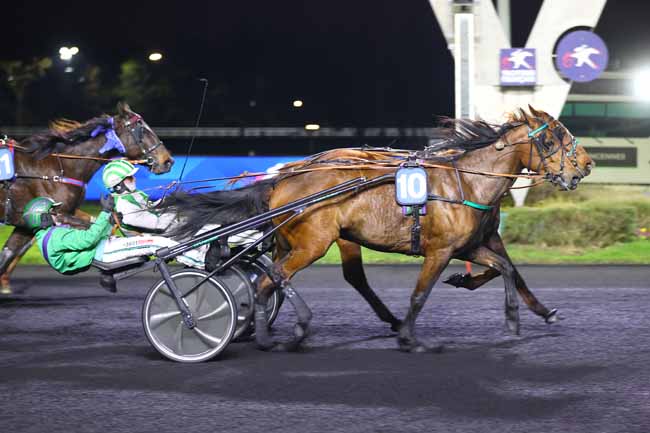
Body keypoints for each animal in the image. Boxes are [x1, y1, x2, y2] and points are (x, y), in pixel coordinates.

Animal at [0, 101, 175, 292]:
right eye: (141, 128)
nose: (167, 161)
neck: (56, 168)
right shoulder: (57, 215)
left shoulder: (26, 223)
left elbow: (8, 253)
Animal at [166, 107, 592, 352]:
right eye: (553, 138)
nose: (585, 166)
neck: (467, 182)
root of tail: (285, 176)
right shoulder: (440, 250)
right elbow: (421, 294)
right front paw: (411, 338)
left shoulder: (471, 244)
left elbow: (506, 268)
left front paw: (517, 318)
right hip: (313, 244)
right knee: (272, 279)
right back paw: (286, 331)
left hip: (299, 242)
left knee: (273, 278)